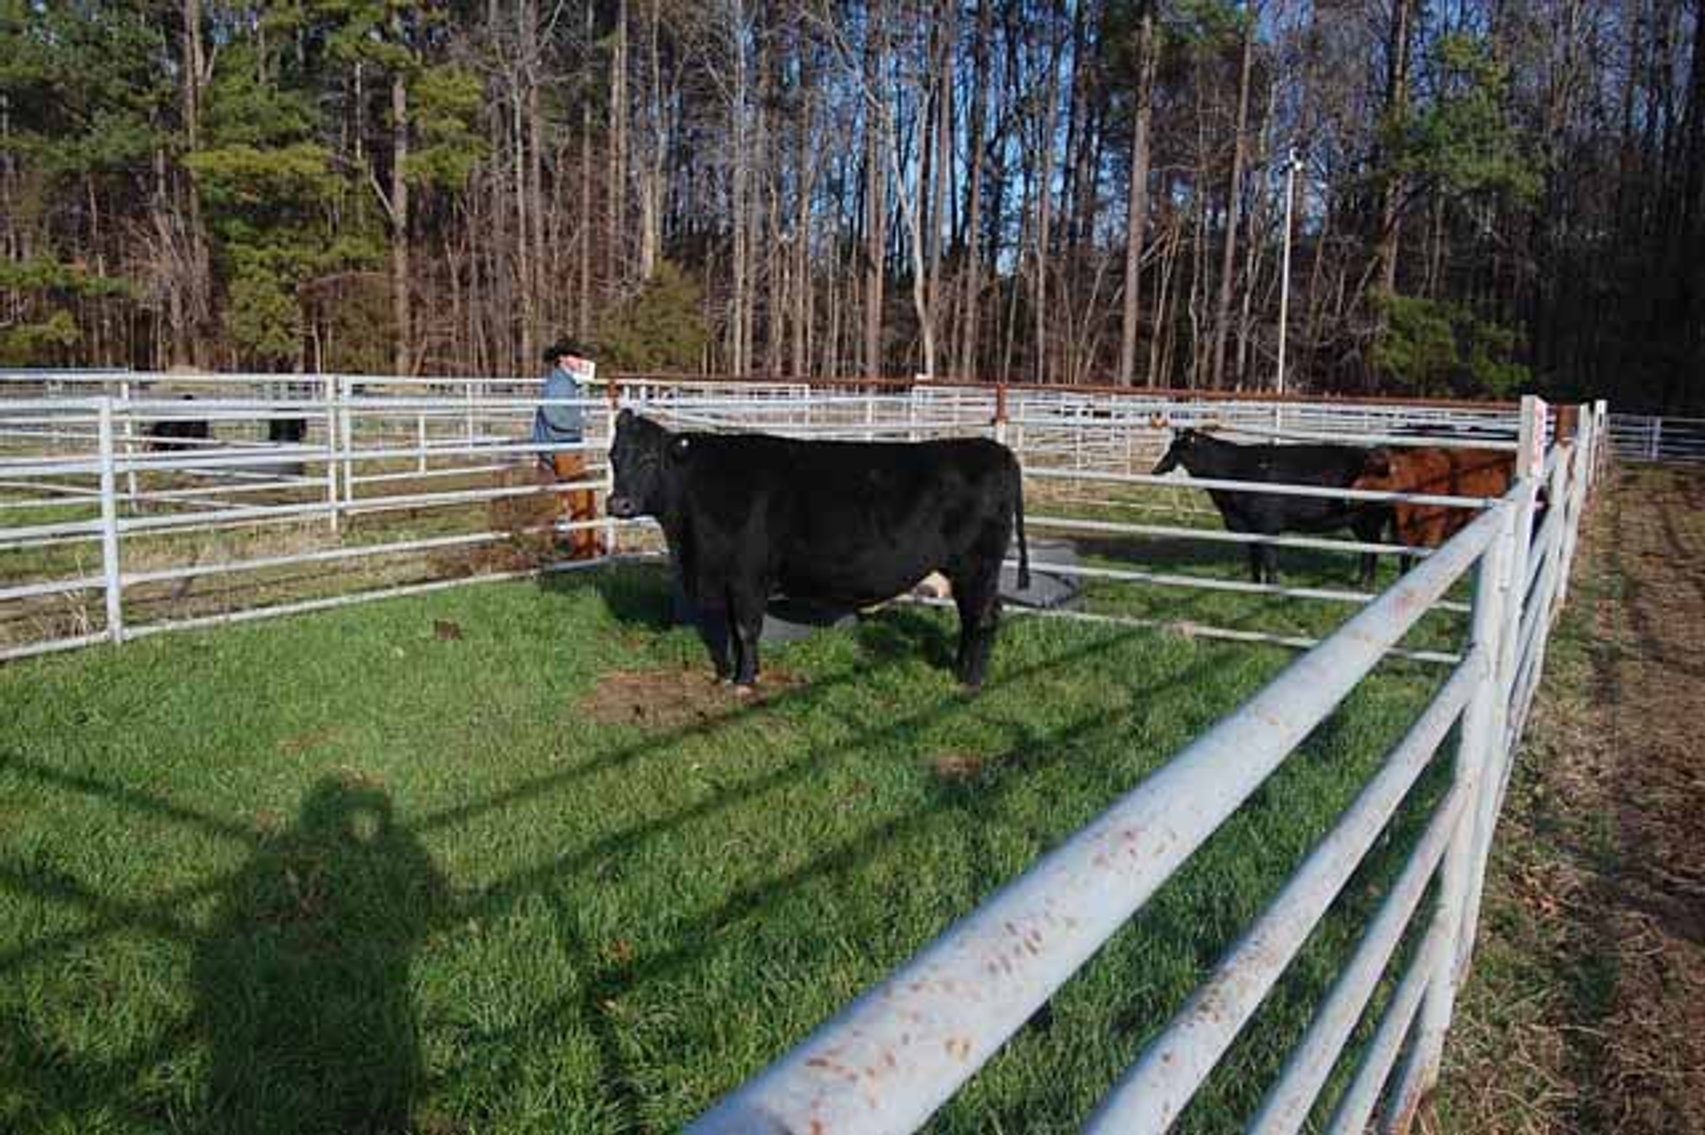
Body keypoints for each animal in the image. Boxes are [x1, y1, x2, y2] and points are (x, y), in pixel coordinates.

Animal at [605, 409, 1031, 691]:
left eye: (650, 458)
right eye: (613, 457)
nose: (618, 504)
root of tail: (998, 451)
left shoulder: (746, 575)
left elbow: (745, 629)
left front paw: (744, 680)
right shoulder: (723, 579)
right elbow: (730, 631)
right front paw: (732, 675)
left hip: (976, 565)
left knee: (982, 617)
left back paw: (969, 679)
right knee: (978, 616)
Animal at [1151, 428, 1387, 586]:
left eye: (1178, 448)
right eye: (1170, 446)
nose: (1156, 469)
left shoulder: (1267, 525)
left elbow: (1270, 559)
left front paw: (1272, 586)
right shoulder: (1249, 527)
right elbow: (1255, 557)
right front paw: (1255, 584)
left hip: (1370, 520)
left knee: (1373, 548)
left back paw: (1367, 583)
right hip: (1359, 522)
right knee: (1367, 548)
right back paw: (1361, 580)